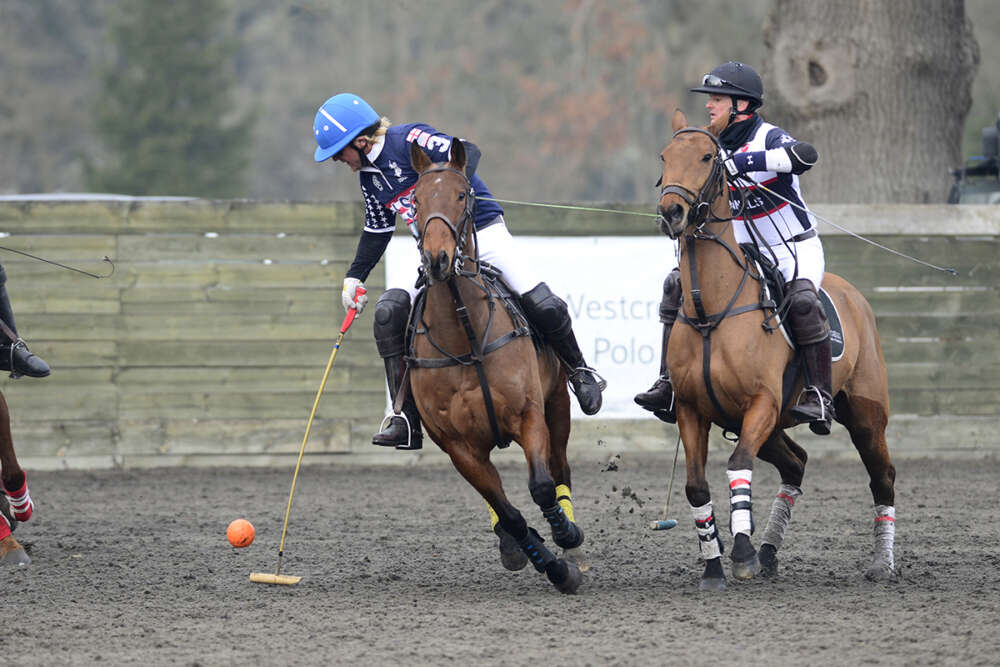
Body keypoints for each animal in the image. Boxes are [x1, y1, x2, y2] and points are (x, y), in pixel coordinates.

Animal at [404, 141, 584, 596]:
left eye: (461, 195)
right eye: (415, 201)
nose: (437, 259)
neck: (464, 337)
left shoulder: (529, 414)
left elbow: (541, 487)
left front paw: (565, 535)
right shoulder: (459, 448)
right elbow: (510, 513)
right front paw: (551, 566)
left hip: (557, 405)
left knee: (559, 467)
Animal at [656, 112, 900, 592]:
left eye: (708, 156)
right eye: (664, 156)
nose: (671, 212)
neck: (712, 309)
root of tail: (854, 295)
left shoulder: (762, 403)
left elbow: (738, 464)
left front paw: (741, 552)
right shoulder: (693, 409)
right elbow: (696, 486)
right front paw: (714, 566)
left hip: (865, 415)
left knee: (882, 477)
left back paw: (881, 563)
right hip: (762, 425)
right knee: (797, 464)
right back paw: (769, 551)